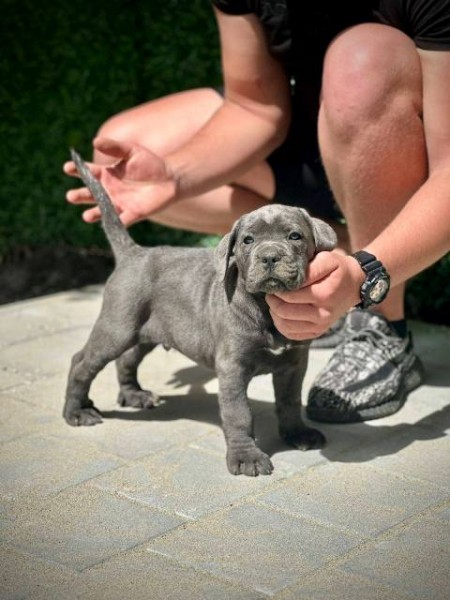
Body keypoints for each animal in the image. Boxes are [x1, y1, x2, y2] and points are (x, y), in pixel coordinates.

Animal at [63, 150, 337, 476]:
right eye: (248, 240)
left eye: (295, 236)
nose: (270, 256)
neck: (265, 305)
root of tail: (133, 252)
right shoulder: (232, 368)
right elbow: (239, 414)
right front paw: (246, 457)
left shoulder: (294, 363)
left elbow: (290, 400)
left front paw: (297, 433)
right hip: (118, 326)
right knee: (82, 362)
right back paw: (77, 412)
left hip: (145, 331)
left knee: (126, 360)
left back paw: (134, 395)